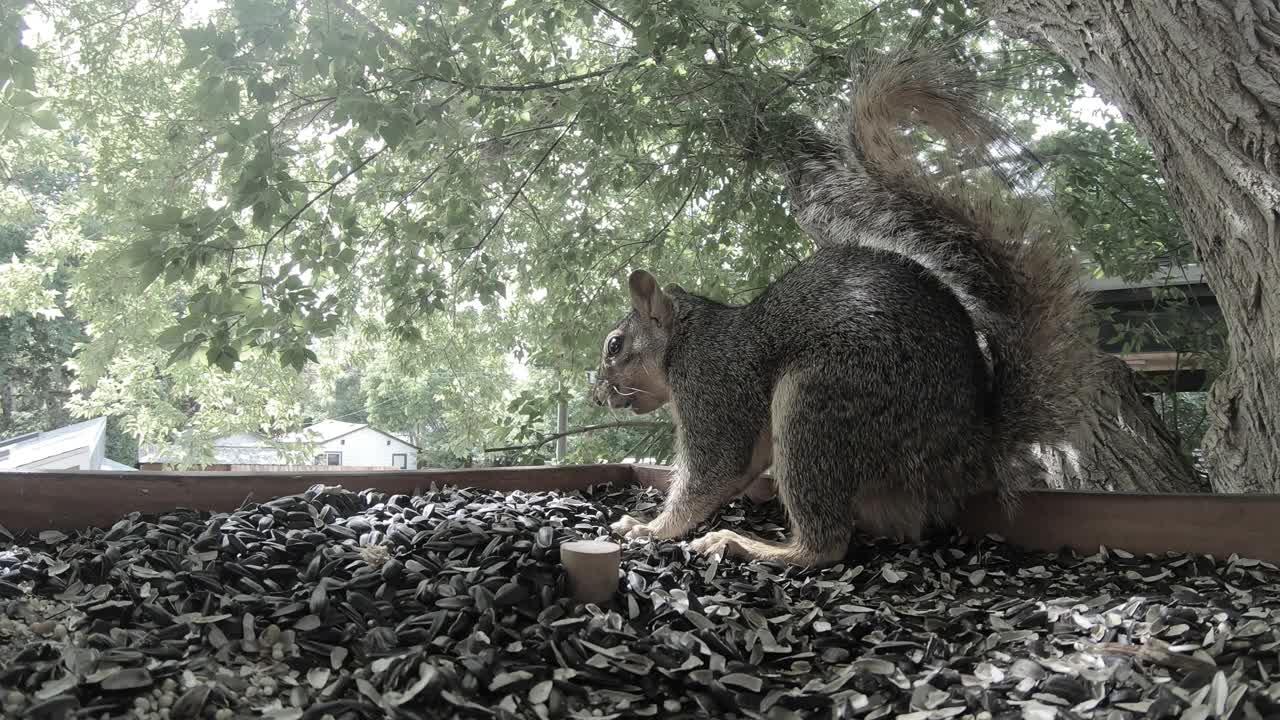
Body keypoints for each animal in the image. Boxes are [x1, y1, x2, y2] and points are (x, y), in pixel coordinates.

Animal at [588, 33, 1100, 563]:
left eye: (614, 347)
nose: (597, 394)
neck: (686, 339)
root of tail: (973, 445)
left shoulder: (714, 384)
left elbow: (714, 470)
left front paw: (648, 528)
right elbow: (741, 469)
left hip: (822, 401)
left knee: (825, 545)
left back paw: (746, 544)